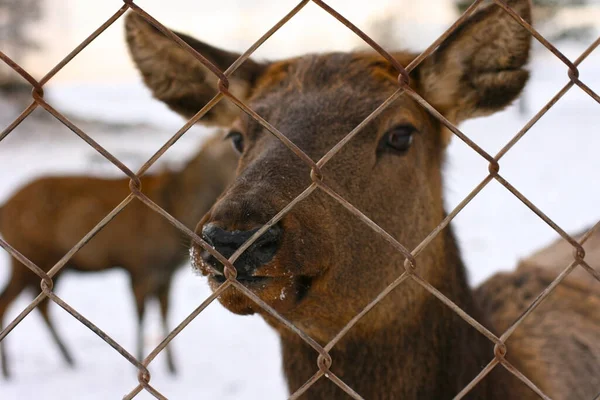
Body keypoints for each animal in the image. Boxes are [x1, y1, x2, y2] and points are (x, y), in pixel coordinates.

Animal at [0, 133, 239, 380]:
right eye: (234, 148)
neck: (179, 209)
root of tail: (4, 206)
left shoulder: (165, 271)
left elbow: (165, 312)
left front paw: (173, 367)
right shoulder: (140, 265)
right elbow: (141, 314)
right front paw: (141, 362)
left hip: (48, 263)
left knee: (39, 304)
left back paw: (67, 357)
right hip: (29, 255)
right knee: (9, 300)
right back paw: (9, 369)